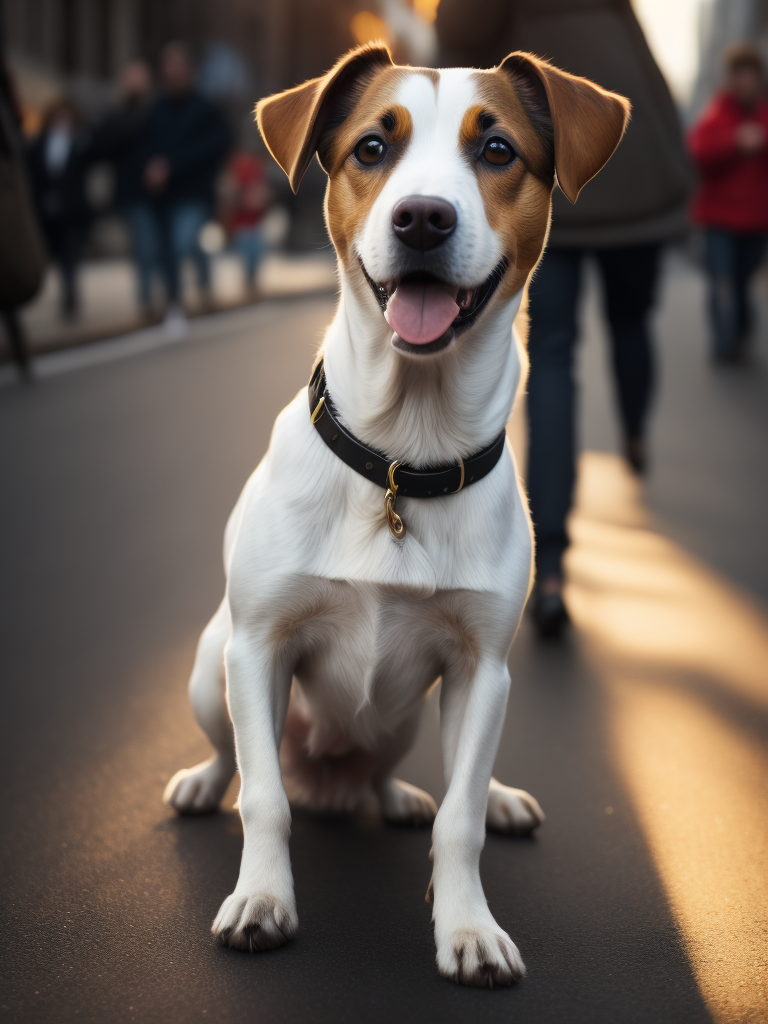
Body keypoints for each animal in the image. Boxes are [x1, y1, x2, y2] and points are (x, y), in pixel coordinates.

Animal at [165, 44, 626, 987]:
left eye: (498, 151)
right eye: (373, 148)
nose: (421, 218)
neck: (403, 459)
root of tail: (332, 778)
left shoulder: (483, 668)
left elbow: (461, 821)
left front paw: (468, 925)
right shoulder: (256, 646)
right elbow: (263, 801)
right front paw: (262, 899)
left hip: (425, 707)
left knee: (426, 778)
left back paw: (440, 795)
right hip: (208, 667)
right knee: (237, 758)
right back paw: (203, 781)